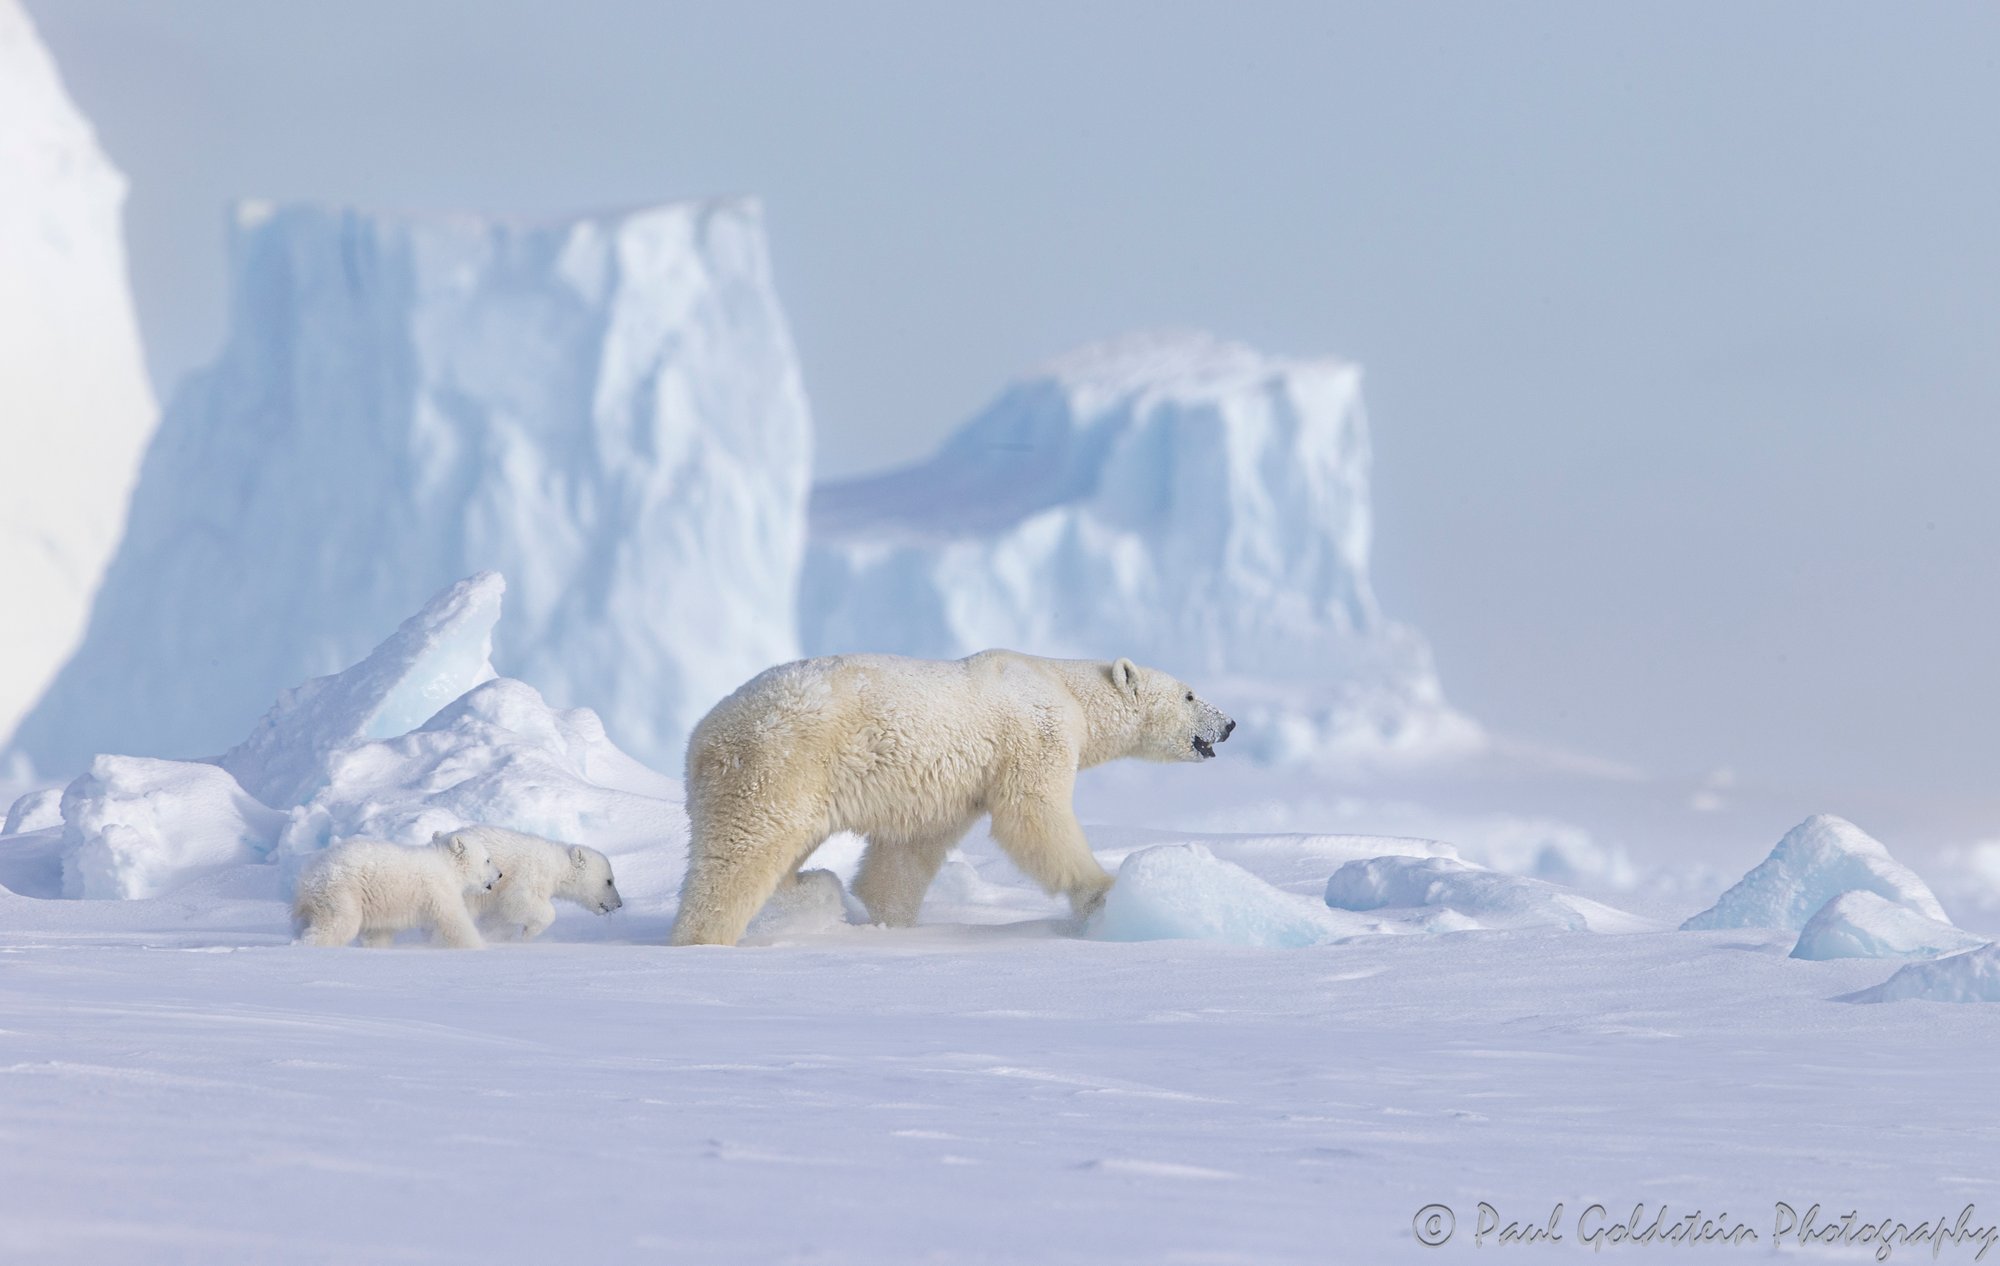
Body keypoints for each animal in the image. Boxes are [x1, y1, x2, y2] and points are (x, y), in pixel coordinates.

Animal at [292, 833, 502, 948]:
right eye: (488, 859)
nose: (500, 874)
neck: (446, 864)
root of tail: (308, 878)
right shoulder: (438, 889)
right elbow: (454, 921)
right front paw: (479, 945)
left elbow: (378, 933)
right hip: (342, 891)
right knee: (339, 923)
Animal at [442, 824, 624, 941]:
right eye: (609, 881)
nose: (619, 904)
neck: (556, 865)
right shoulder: (528, 873)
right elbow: (518, 900)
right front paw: (528, 932)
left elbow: (500, 916)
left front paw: (499, 934)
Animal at [669, 650, 1234, 947]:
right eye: (1189, 694)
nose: (1228, 724)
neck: (1063, 686)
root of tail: (702, 738)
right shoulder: (1033, 737)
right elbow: (1034, 815)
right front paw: (1102, 893)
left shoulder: (948, 787)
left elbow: (907, 855)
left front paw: (887, 920)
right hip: (779, 766)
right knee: (742, 854)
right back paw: (706, 937)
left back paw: (808, 892)